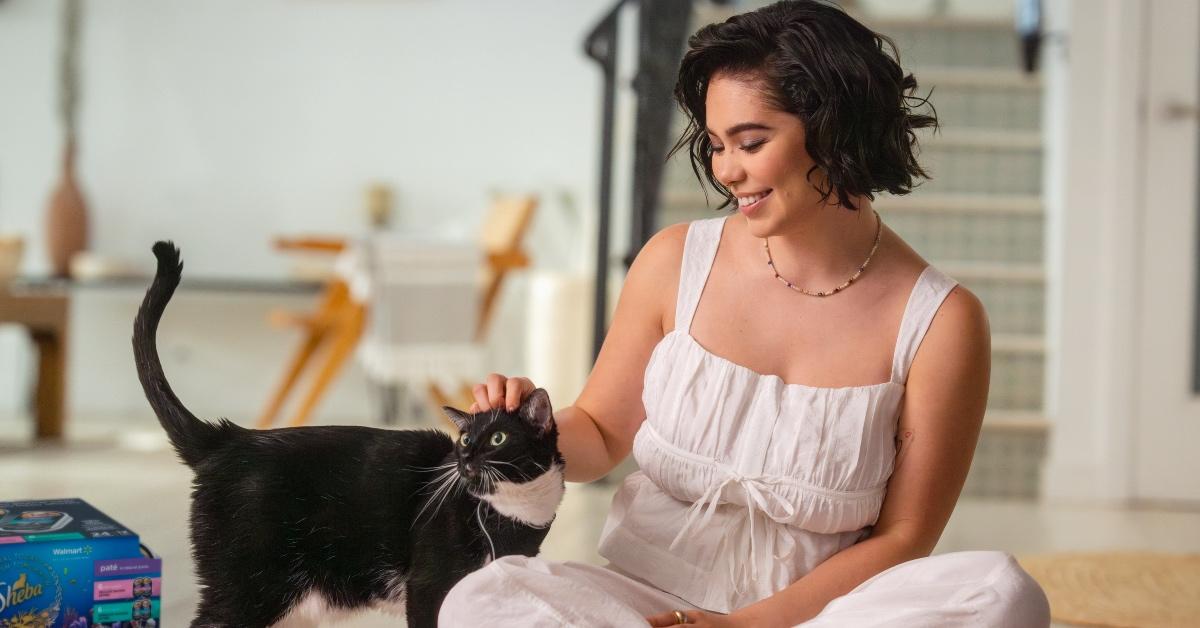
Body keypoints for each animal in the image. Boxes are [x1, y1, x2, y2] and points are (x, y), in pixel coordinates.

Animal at [133, 242, 564, 628]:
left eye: (497, 439)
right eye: (464, 440)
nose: (466, 458)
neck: (515, 510)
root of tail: (229, 437)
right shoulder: (429, 587)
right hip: (249, 586)